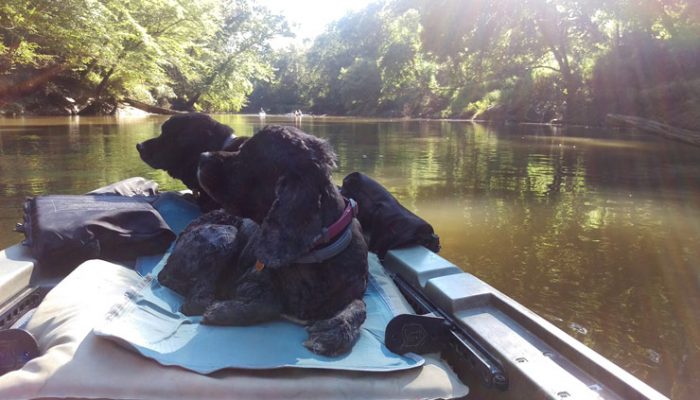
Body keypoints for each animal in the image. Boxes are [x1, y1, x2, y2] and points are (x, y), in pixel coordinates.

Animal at [157, 125, 366, 356]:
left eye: (246, 156)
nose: (203, 156)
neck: (313, 255)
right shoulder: (248, 280)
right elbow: (269, 301)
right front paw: (222, 310)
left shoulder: (354, 290)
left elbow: (359, 307)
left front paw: (333, 332)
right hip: (224, 234)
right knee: (193, 302)